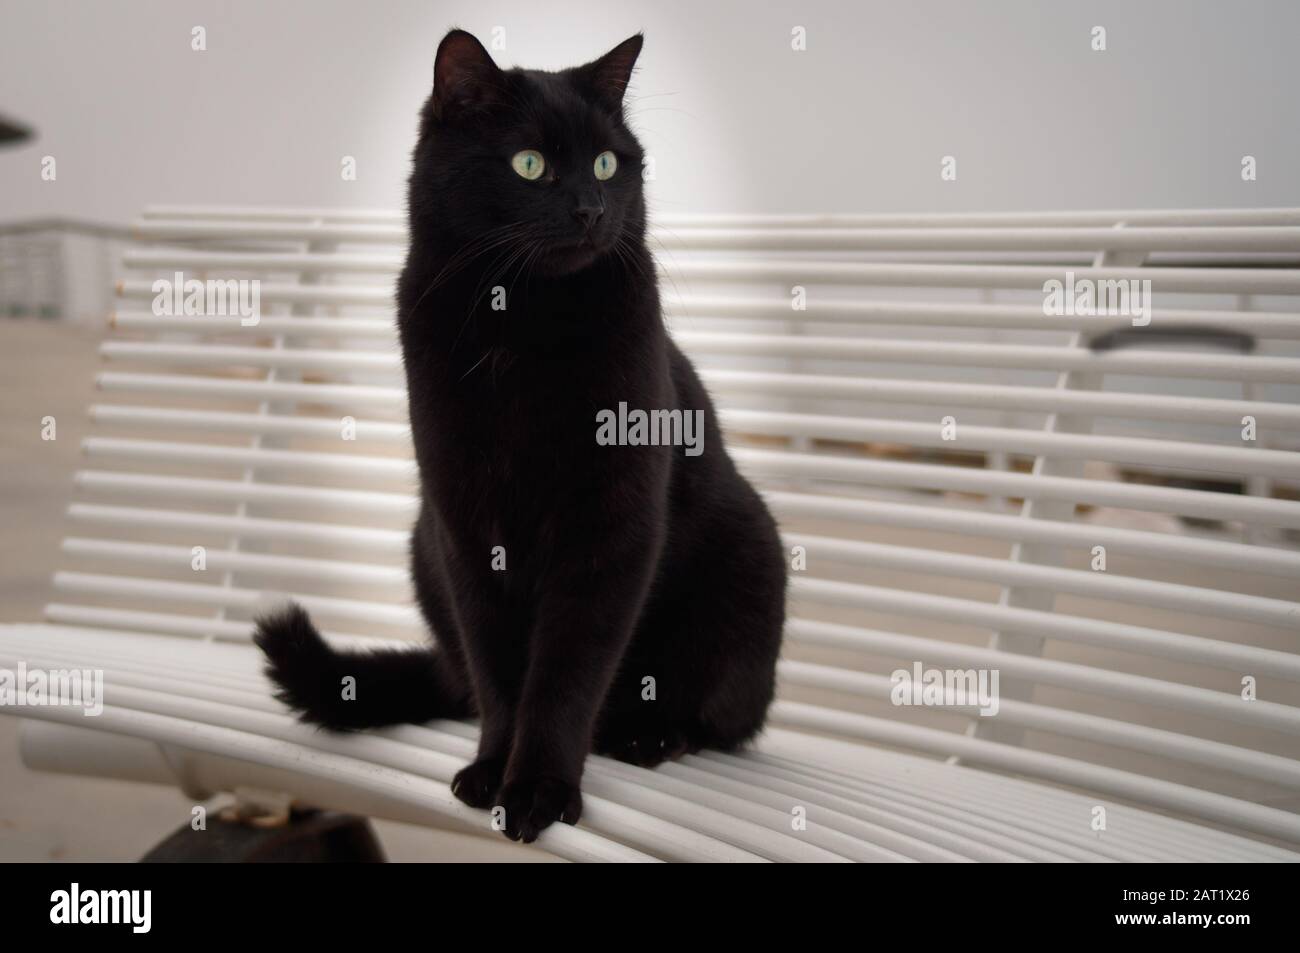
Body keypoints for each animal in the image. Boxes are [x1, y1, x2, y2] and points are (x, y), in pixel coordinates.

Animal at [252, 29, 780, 842]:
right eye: (530, 163)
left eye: (606, 163)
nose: (592, 208)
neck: (522, 322)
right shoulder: (464, 521)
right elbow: (500, 667)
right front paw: (493, 770)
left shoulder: (610, 526)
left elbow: (563, 676)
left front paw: (538, 788)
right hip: (422, 548)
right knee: (467, 677)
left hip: (750, 556)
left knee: (720, 715)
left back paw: (650, 733)